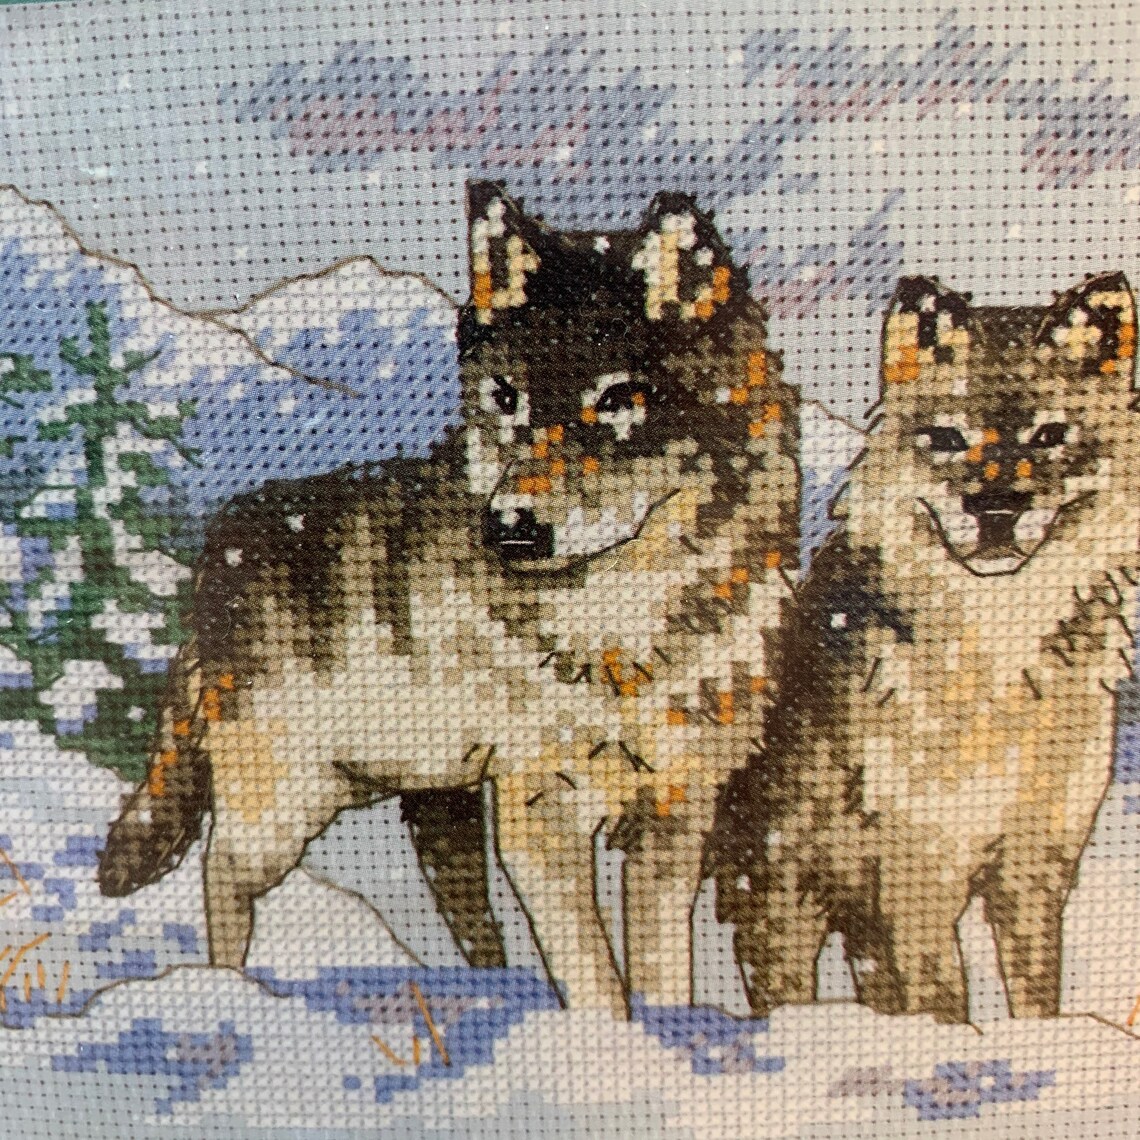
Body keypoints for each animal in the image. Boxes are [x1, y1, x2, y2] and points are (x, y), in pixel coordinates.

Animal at [97, 181, 801, 1015]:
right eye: (507, 398)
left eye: (618, 400)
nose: (510, 530)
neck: (624, 640)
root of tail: (215, 550)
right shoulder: (540, 814)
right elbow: (595, 980)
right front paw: (608, 1041)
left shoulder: (674, 820)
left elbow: (663, 977)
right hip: (289, 809)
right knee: (221, 873)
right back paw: (230, 987)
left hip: (439, 802)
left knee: (469, 923)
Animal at [714, 271, 1139, 1023]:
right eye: (947, 437)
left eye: (1051, 435)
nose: (996, 509)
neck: (997, 669)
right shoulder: (918, 873)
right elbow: (943, 999)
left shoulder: (1034, 869)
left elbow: (1036, 999)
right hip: (785, 892)